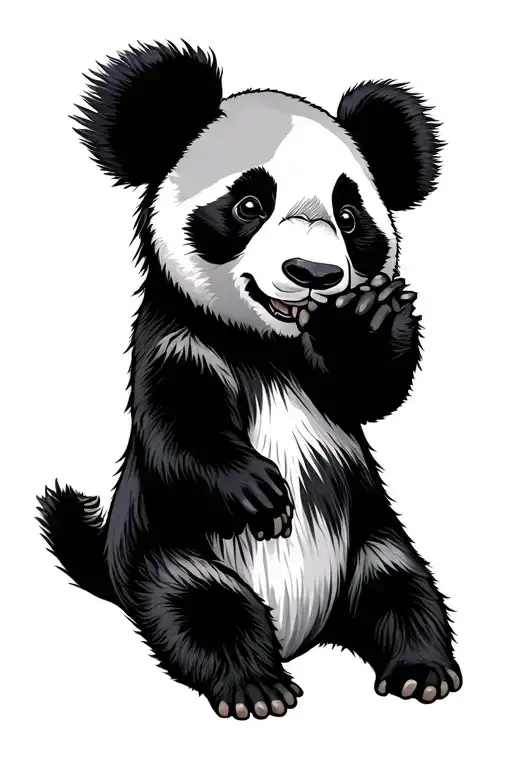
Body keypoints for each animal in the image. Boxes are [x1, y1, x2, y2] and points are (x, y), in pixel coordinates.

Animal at [38, 40, 462, 720]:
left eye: (349, 216)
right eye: (248, 206)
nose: (313, 272)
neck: (266, 351)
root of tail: (303, 632)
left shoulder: (325, 385)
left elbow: (372, 393)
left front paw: (363, 322)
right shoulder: (176, 341)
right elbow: (178, 426)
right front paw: (260, 493)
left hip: (368, 542)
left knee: (400, 589)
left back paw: (421, 671)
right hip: (174, 551)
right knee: (203, 609)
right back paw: (255, 687)